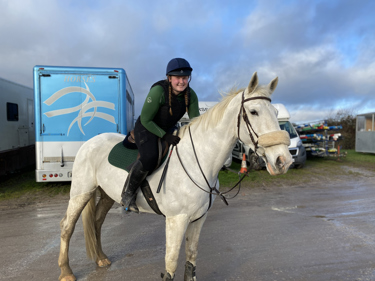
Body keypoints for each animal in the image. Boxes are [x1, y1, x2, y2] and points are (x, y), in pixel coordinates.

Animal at [58, 72, 294, 280]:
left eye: (275, 112)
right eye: (253, 112)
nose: (283, 160)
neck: (198, 160)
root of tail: (89, 142)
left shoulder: (198, 219)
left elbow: (191, 259)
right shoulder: (176, 220)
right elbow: (170, 264)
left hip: (106, 194)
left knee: (96, 222)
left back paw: (101, 259)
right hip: (81, 192)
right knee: (67, 227)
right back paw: (66, 272)